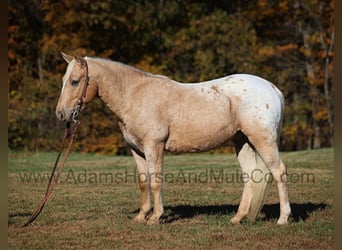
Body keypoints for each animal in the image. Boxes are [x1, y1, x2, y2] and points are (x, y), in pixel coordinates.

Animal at [56, 52, 292, 225]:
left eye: (75, 81)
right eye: (64, 80)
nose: (61, 114)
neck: (135, 96)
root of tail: (274, 90)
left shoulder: (154, 147)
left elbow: (156, 182)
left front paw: (155, 218)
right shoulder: (137, 150)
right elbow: (143, 182)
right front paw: (141, 216)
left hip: (263, 140)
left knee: (278, 172)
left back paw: (282, 219)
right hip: (242, 142)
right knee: (249, 176)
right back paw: (237, 218)